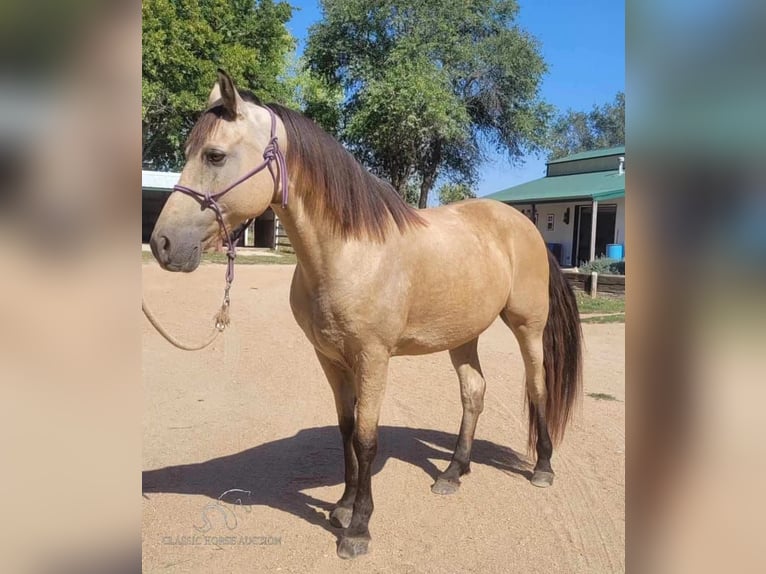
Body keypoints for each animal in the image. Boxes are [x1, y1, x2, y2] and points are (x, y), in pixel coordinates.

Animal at [148, 70, 584, 560]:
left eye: (215, 155)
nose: (163, 243)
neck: (349, 252)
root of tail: (523, 225)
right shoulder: (330, 358)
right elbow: (346, 429)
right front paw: (341, 507)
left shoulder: (373, 358)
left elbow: (366, 437)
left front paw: (358, 528)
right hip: (462, 336)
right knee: (474, 393)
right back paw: (453, 472)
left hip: (528, 326)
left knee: (537, 387)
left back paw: (542, 467)